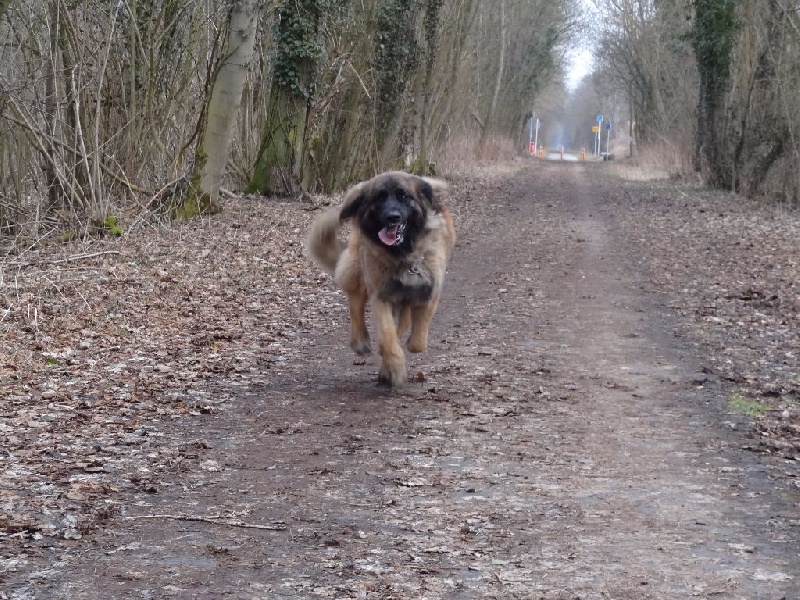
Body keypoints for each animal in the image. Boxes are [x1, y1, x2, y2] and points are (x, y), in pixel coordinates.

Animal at [306, 171, 456, 386]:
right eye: (379, 197)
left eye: (404, 196)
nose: (392, 217)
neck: (404, 256)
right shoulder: (381, 295)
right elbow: (387, 335)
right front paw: (395, 366)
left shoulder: (428, 294)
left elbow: (417, 341)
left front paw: (396, 358)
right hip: (357, 271)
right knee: (356, 303)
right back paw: (360, 341)